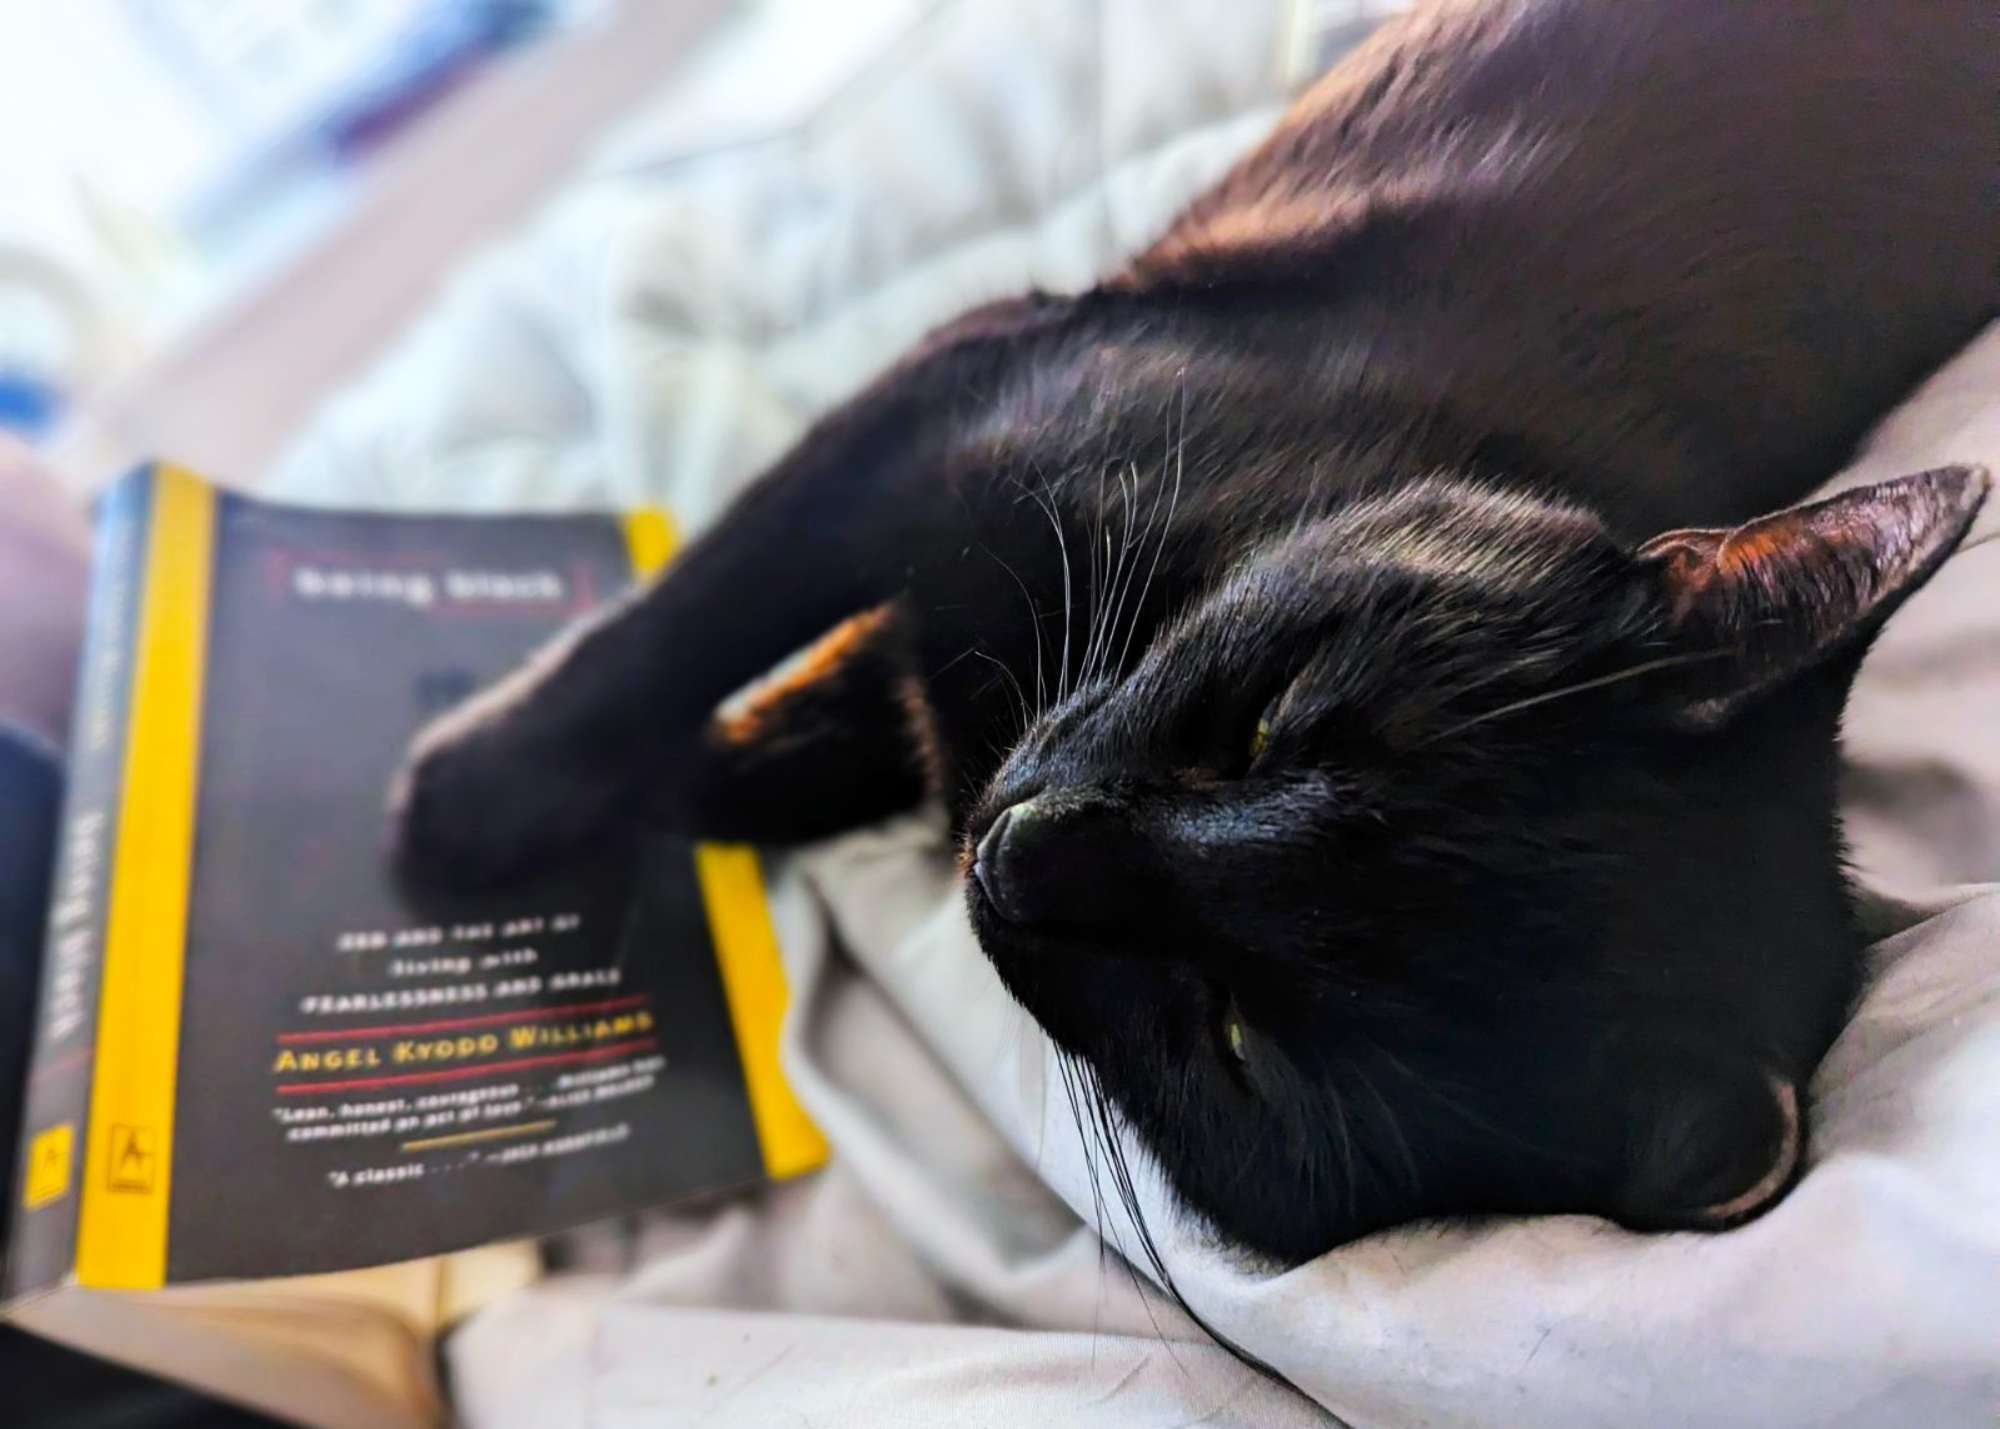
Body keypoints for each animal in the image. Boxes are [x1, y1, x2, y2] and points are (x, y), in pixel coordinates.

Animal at [390, 5, 2000, 1264]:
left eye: (1232, 1039)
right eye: (1269, 723)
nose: (1017, 857)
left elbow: (803, 718)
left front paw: (602, 805)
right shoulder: (962, 394)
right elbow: (688, 631)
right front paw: (467, 800)